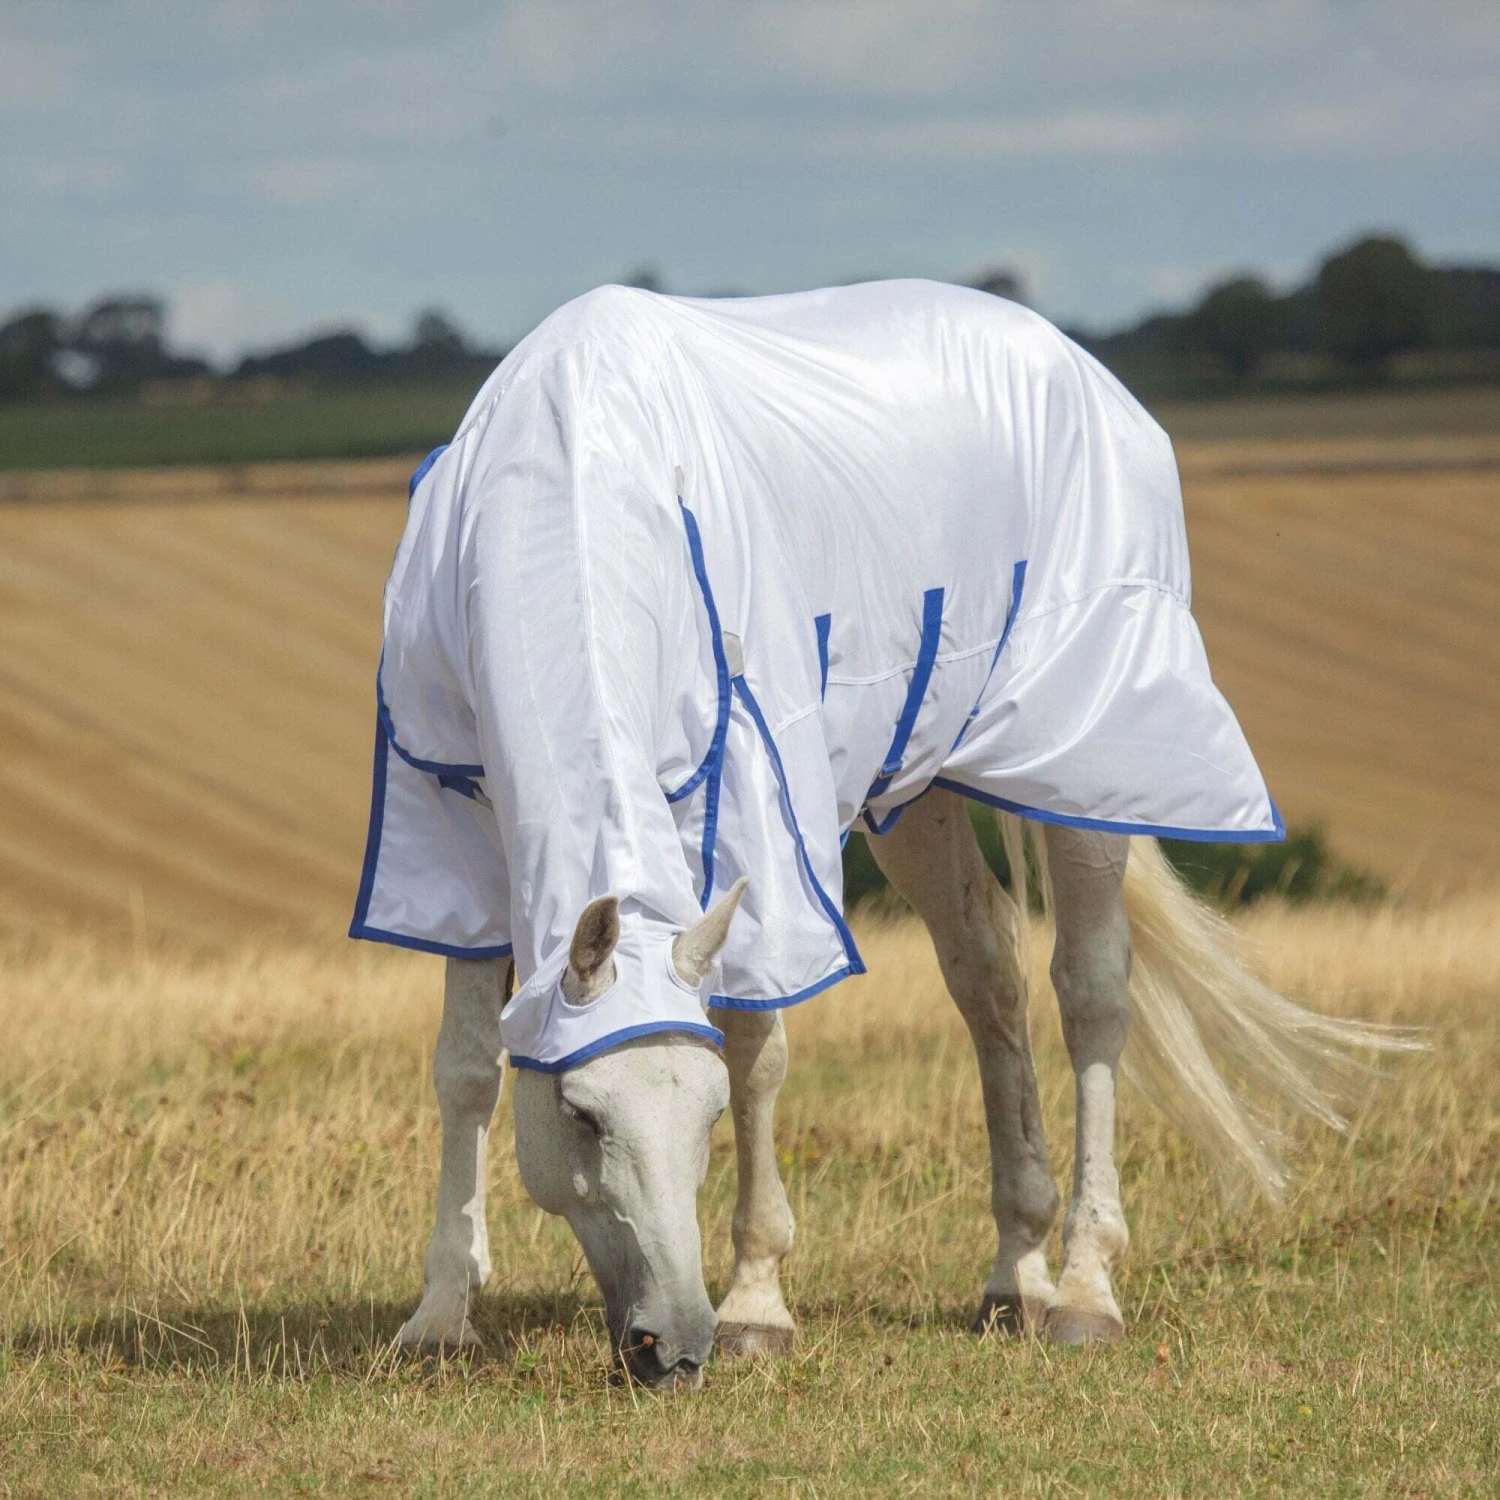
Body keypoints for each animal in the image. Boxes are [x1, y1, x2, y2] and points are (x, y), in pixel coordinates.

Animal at [351, 280, 1408, 1389]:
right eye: (582, 1115)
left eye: (706, 1117)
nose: (671, 1348)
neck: (575, 489)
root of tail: (1076, 363)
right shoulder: (451, 830)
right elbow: (467, 1067)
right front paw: (440, 1316)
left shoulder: (758, 812)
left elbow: (755, 1048)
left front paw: (757, 1304)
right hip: (919, 788)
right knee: (988, 972)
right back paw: (1015, 1275)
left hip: (1087, 762)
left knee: (1091, 991)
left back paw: (1084, 1289)